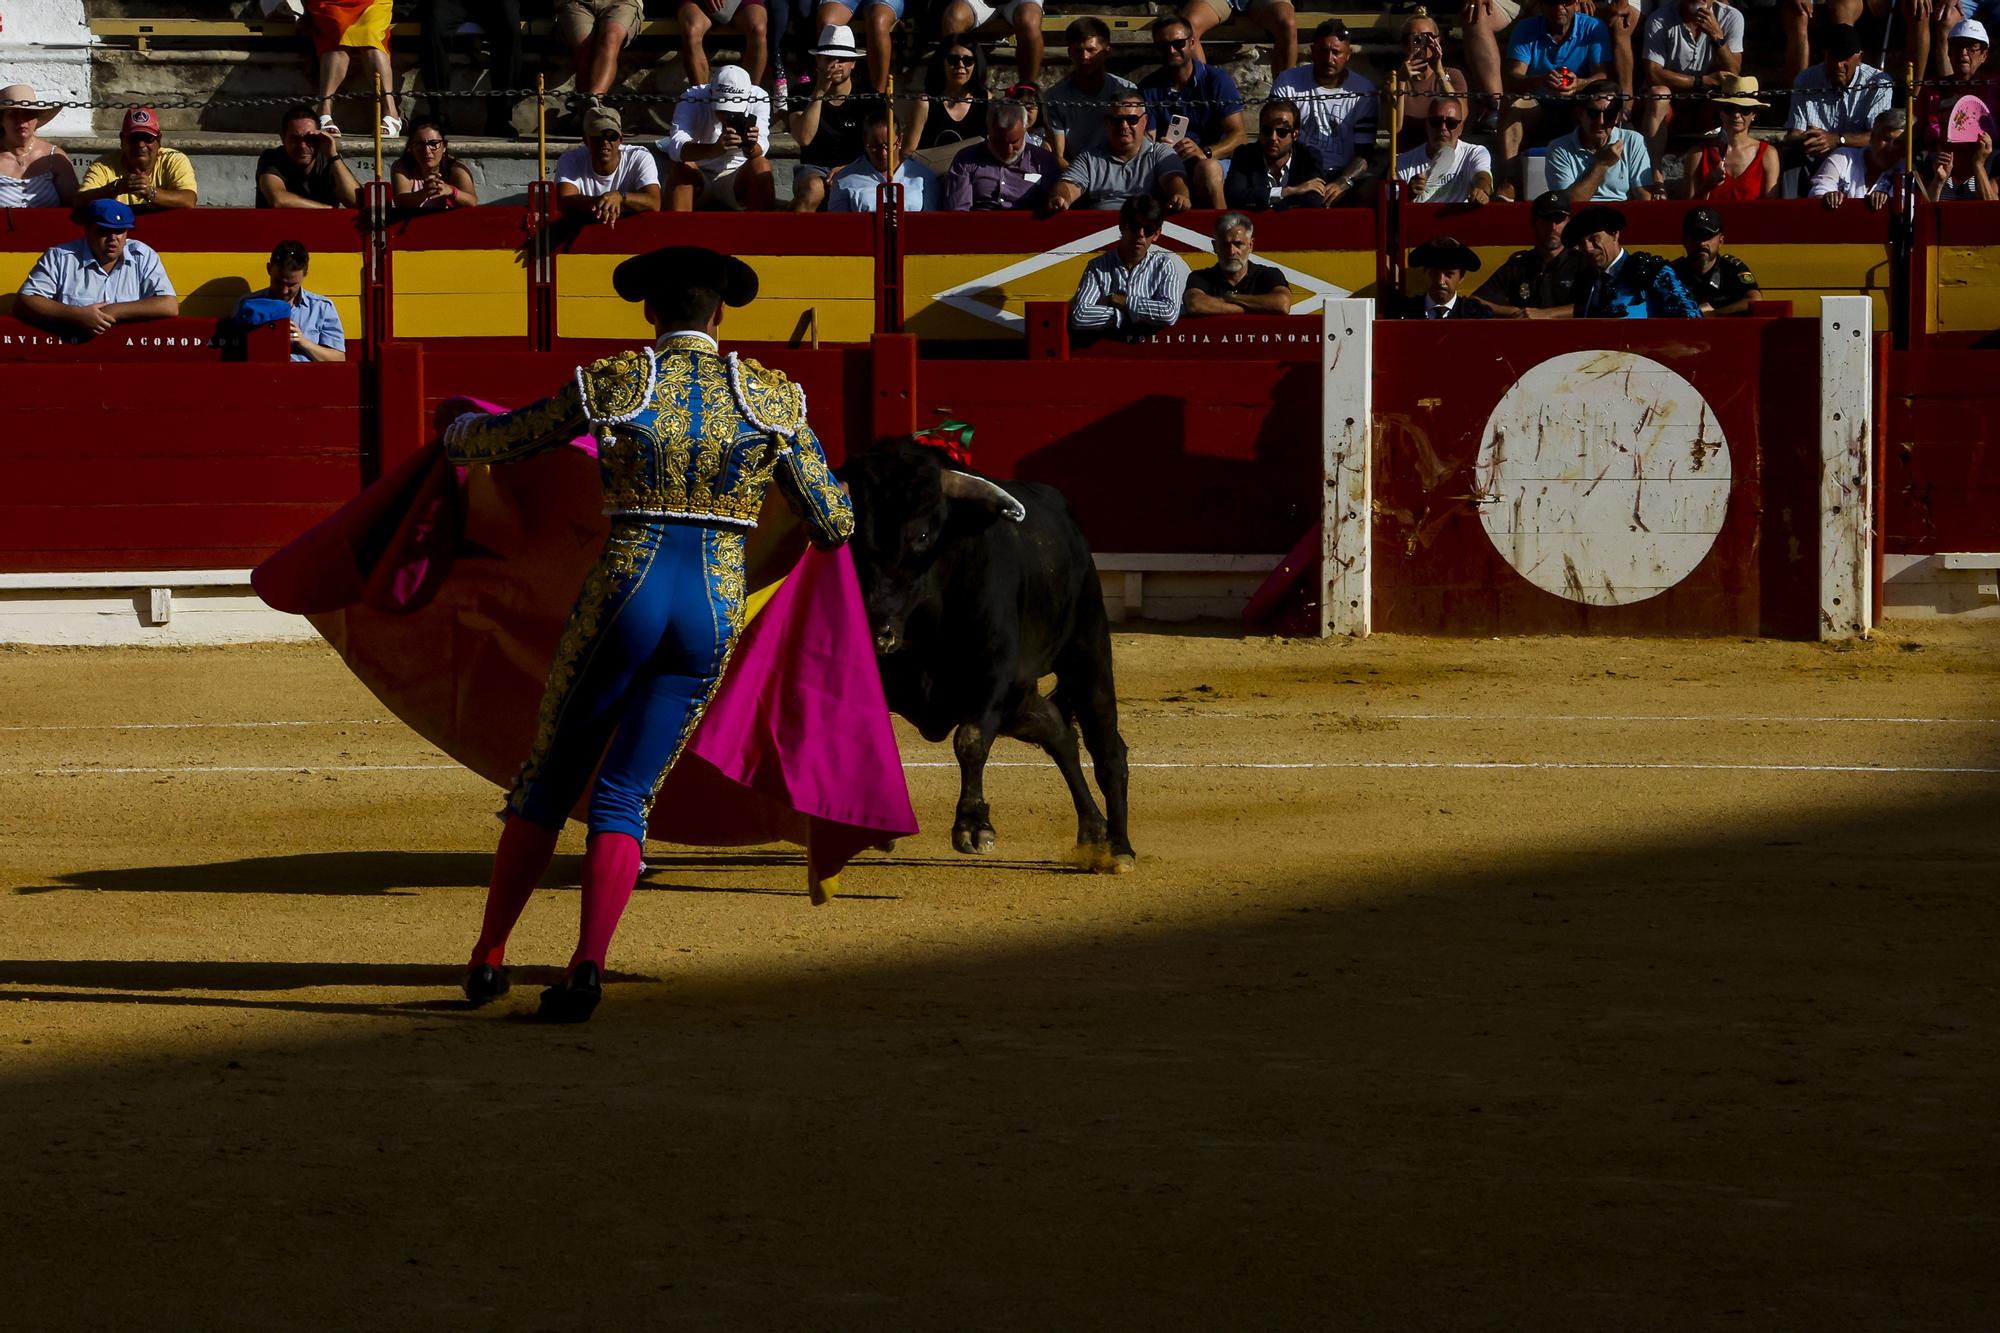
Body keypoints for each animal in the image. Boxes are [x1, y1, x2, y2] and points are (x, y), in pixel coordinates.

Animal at [836, 438, 1136, 872]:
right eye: (852, 534)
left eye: (923, 533)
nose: (878, 632)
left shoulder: (992, 674)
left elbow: (971, 740)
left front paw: (974, 827)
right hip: (1021, 700)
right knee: (1060, 733)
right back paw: (1093, 832)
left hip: (1087, 651)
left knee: (1107, 747)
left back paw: (1119, 848)